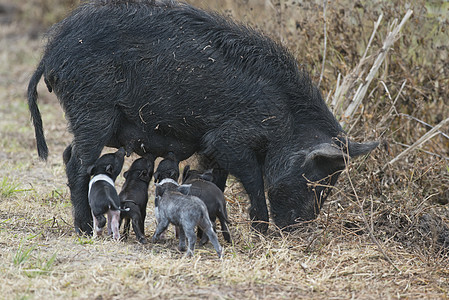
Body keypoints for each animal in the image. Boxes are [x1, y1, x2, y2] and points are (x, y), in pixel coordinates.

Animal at [28, 0, 376, 234]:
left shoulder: (212, 149)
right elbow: (252, 179)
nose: (298, 229)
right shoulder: (228, 139)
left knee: (68, 153)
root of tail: (51, 53)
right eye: (316, 178)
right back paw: (86, 228)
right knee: (77, 164)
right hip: (93, 110)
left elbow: (216, 180)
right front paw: (260, 229)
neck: (285, 120)